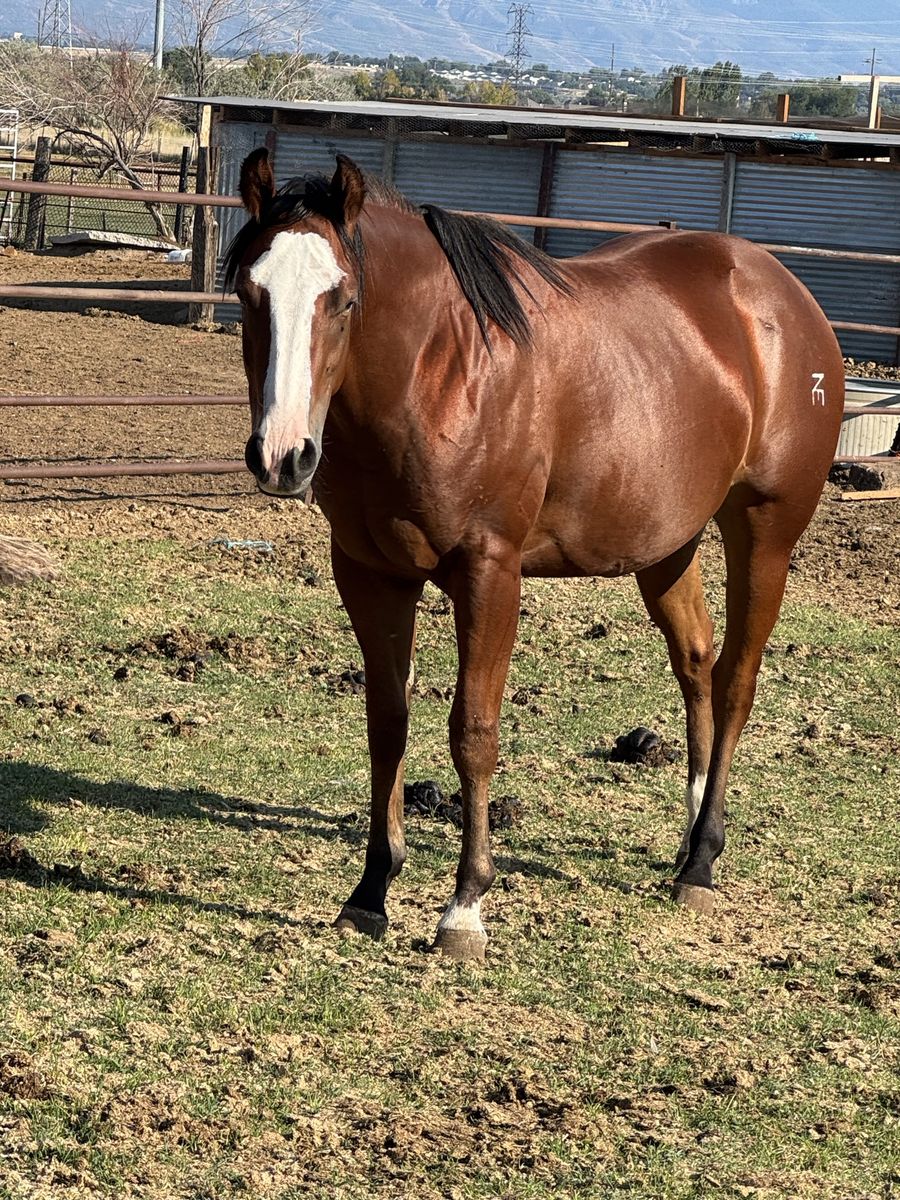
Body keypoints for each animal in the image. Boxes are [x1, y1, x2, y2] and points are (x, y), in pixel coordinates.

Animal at [226, 148, 844, 961]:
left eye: (345, 300)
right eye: (248, 292)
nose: (282, 456)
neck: (441, 372)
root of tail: (782, 293)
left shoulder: (490, 572)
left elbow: (473, 732)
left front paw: (464, 909)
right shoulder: (370, 573)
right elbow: (387, 722)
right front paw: (371, 891)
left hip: (765, 531)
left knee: (737, 679)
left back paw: (702, 863)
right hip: (668, 545)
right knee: (697, 667)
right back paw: (687, 840)